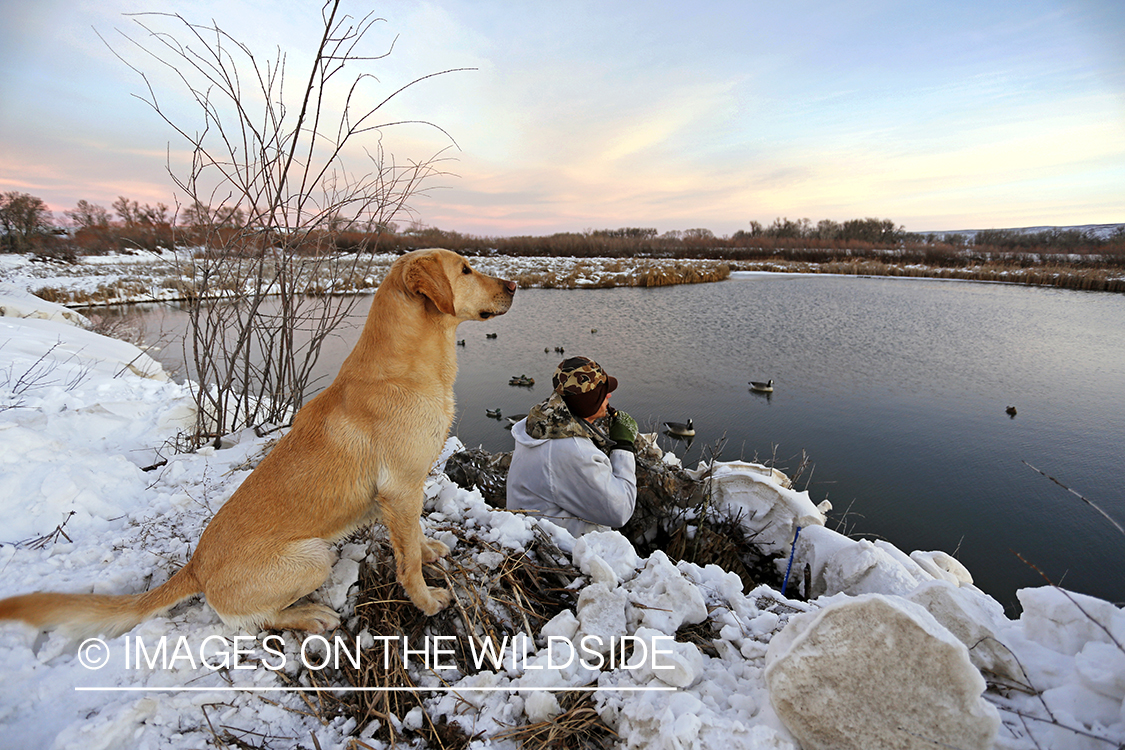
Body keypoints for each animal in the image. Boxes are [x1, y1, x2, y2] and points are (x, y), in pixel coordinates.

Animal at [0, 249, 515, 638]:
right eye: (465, 270)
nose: (513, 285)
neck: (406, 368)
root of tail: (196, 567)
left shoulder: (407, 492)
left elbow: (413, 537)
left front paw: (429, 550)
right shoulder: (400, 489)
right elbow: (406, 564)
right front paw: (427, 600)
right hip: (314, 556)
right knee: (256, 622)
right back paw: (310, 615)